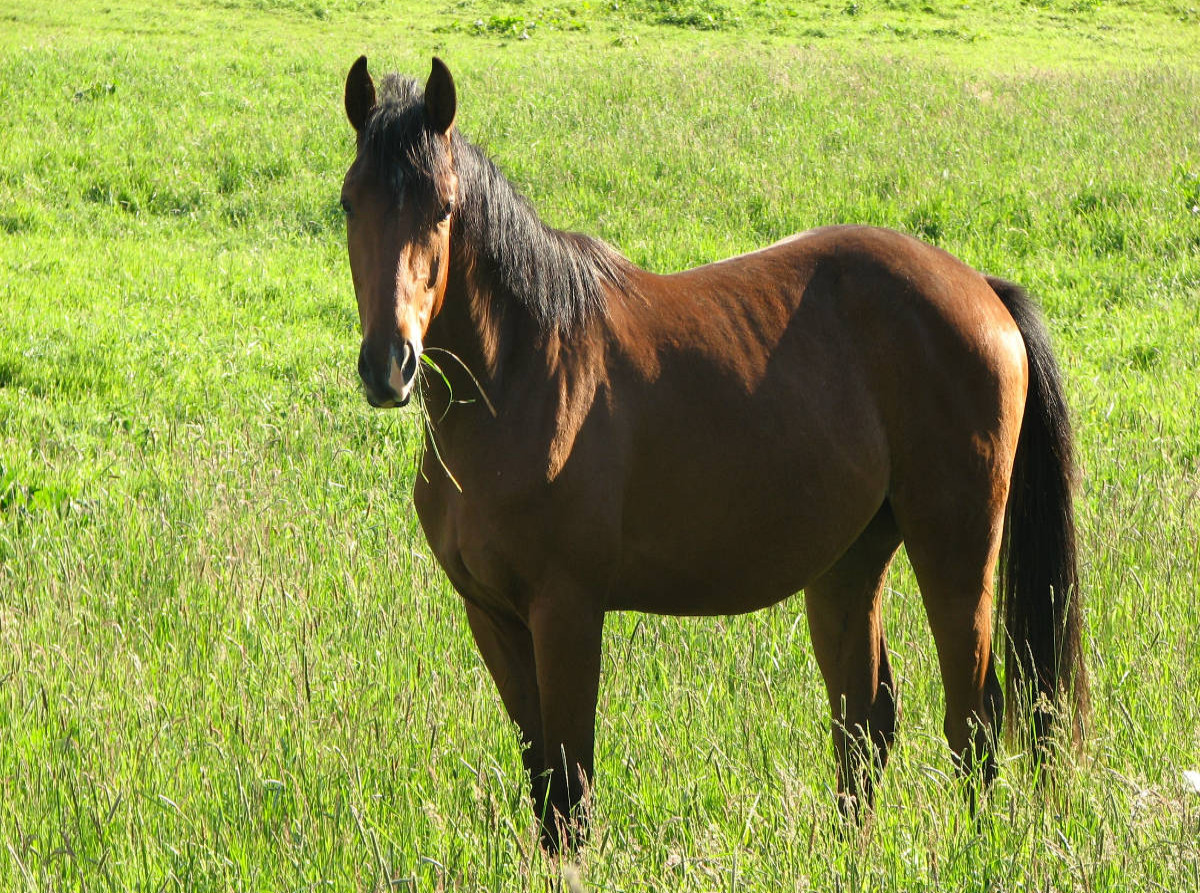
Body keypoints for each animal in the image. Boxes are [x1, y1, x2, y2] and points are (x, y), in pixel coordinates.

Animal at [336, 54, 1089, 849]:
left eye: (444, 209)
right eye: (351, 204)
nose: (389, 365)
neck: (522, 373)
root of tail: (983, 291)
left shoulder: (566, 611)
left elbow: (571, 789)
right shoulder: (492, 616)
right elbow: (544, 788)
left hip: (956, 550)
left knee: (972, 720)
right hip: (850, 561)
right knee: (865, 725)